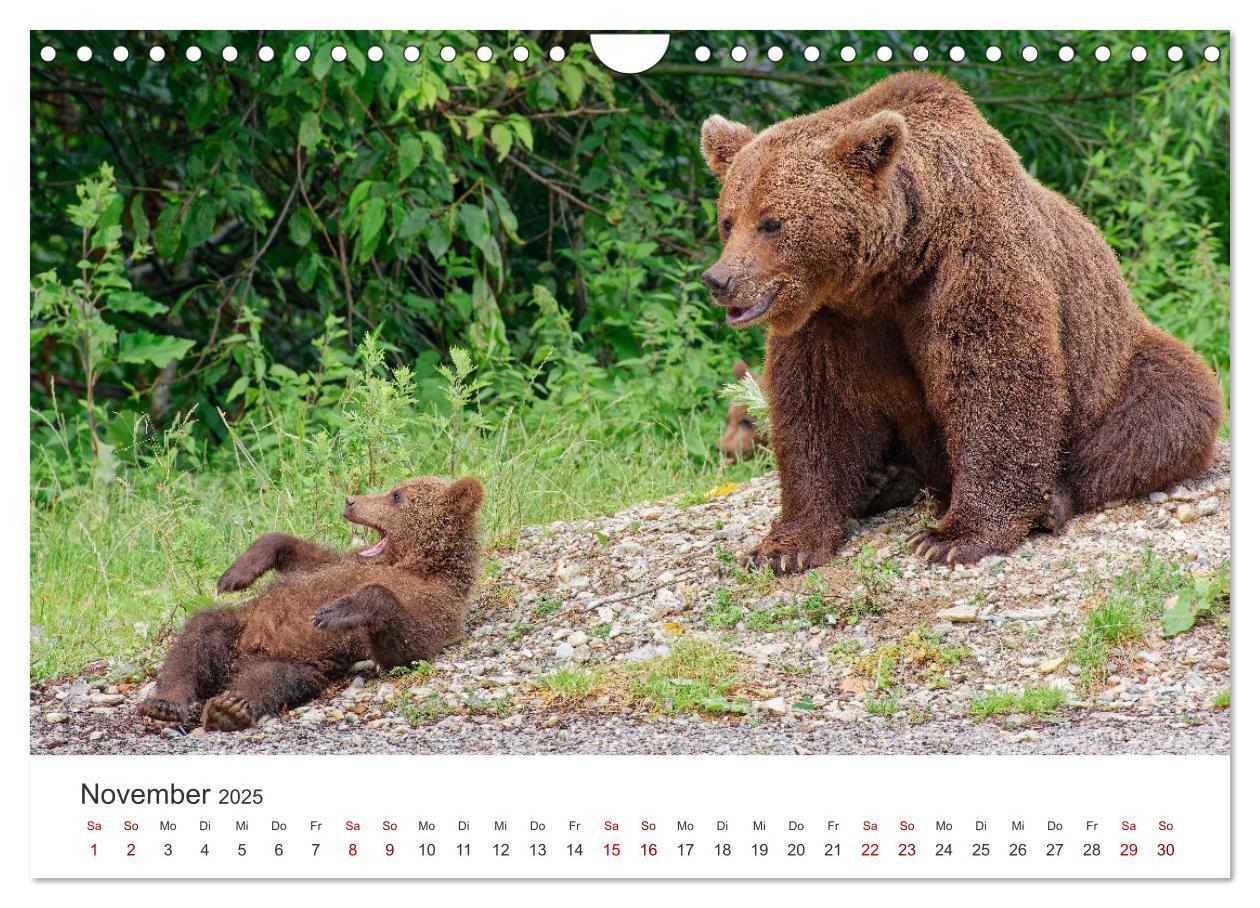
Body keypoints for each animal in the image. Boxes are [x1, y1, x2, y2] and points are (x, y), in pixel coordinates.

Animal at [139, 473, 481, 730]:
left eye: (396, 495)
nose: (350, 500)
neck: (412, 564)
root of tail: (241, 656)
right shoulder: (341, 564)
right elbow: (303, 554)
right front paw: (237, 573)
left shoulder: (436, 602)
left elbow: (406, 648)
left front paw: (336, 610)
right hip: (241, 625)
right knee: (200, 632)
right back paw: (166, 701)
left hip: (298, 661)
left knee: (271, 679)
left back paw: (230, 708)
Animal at [700, 70, 1219, 569]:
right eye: (728, 220)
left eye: (772, 222)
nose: (719, 279)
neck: (893, 269)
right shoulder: (828, 319)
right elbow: (817, 411)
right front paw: (784, 548)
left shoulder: (971, 262)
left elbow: (995, 383)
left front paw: (951, 538)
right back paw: (883, 482)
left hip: (1115, 361)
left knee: (1169, 403)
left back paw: (1051, 498)